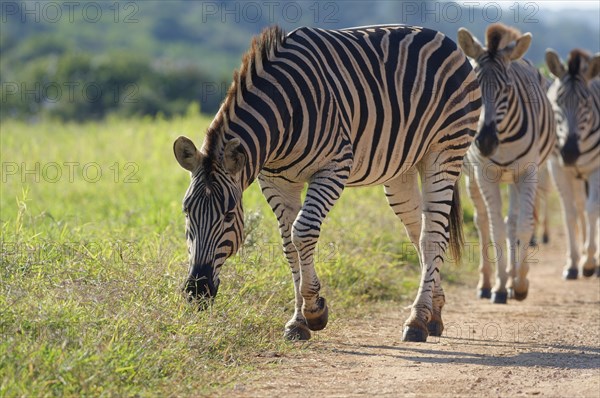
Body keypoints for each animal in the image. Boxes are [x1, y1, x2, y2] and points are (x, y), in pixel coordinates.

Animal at [171, 24, 480, 342]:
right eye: (187, 211)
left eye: (229, 214)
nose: (197, 290)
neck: (284, 114)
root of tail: (443, 38)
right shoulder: (276, 182)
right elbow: (288, 245)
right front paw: (297, 321)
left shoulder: (334, 167)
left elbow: (303, 232)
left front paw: (314, 310)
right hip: (400, 172)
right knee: (419, 231)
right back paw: (434, 312)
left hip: (445, 152)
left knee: (433, 235)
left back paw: (417, 320)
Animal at [460, 24, 556, 304]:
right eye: (474, 87)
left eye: (508, 88)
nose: (485, 142)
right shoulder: (484, 173)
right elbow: (495, 230)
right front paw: (500, 287)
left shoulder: (527, 172)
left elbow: (523, 226)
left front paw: (520, 283)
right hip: (471, 176)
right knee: (482, 221)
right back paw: (486, 283)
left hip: (514, 177)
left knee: (511, 221)